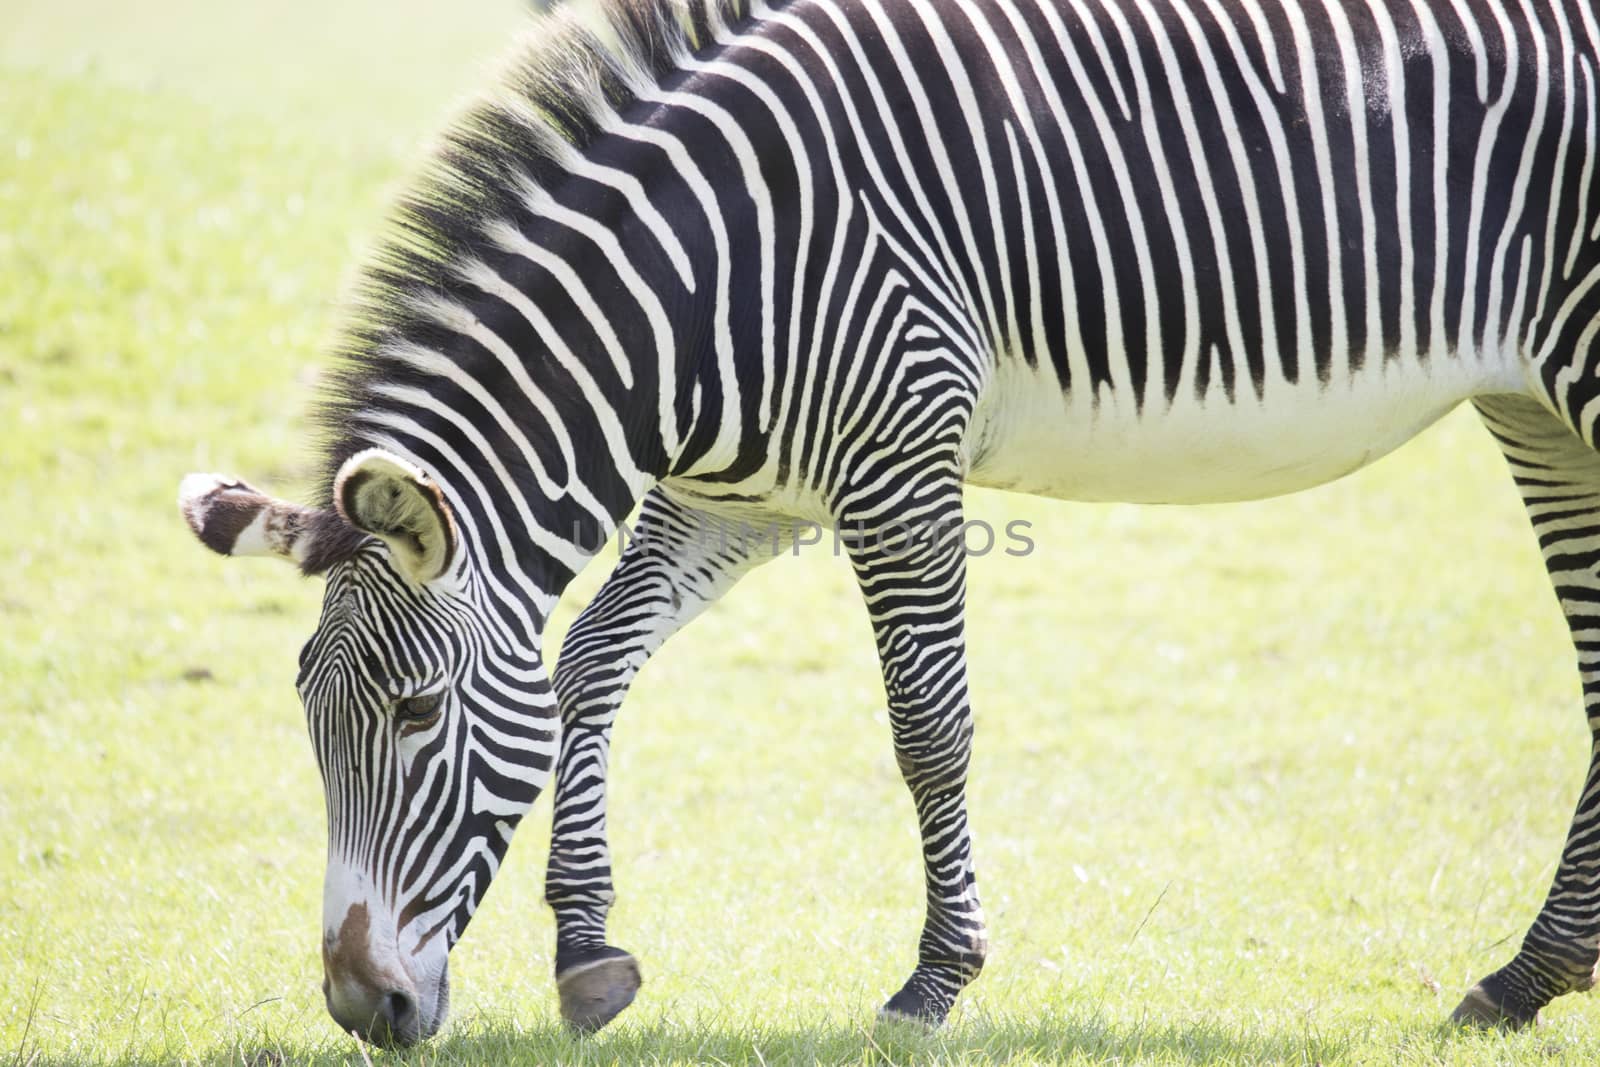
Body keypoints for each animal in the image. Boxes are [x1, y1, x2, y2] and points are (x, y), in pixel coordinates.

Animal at [178, 0, 1600, 1043]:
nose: (360, 1008)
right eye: (307, 717)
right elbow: (590, 660)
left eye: (416, 715)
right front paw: (588, 949)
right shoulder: (733, 496)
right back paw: (1528, 975)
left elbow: (927, 726)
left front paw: (933, 980)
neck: (716, 275)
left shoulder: (901, 463)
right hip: (1534, 404)